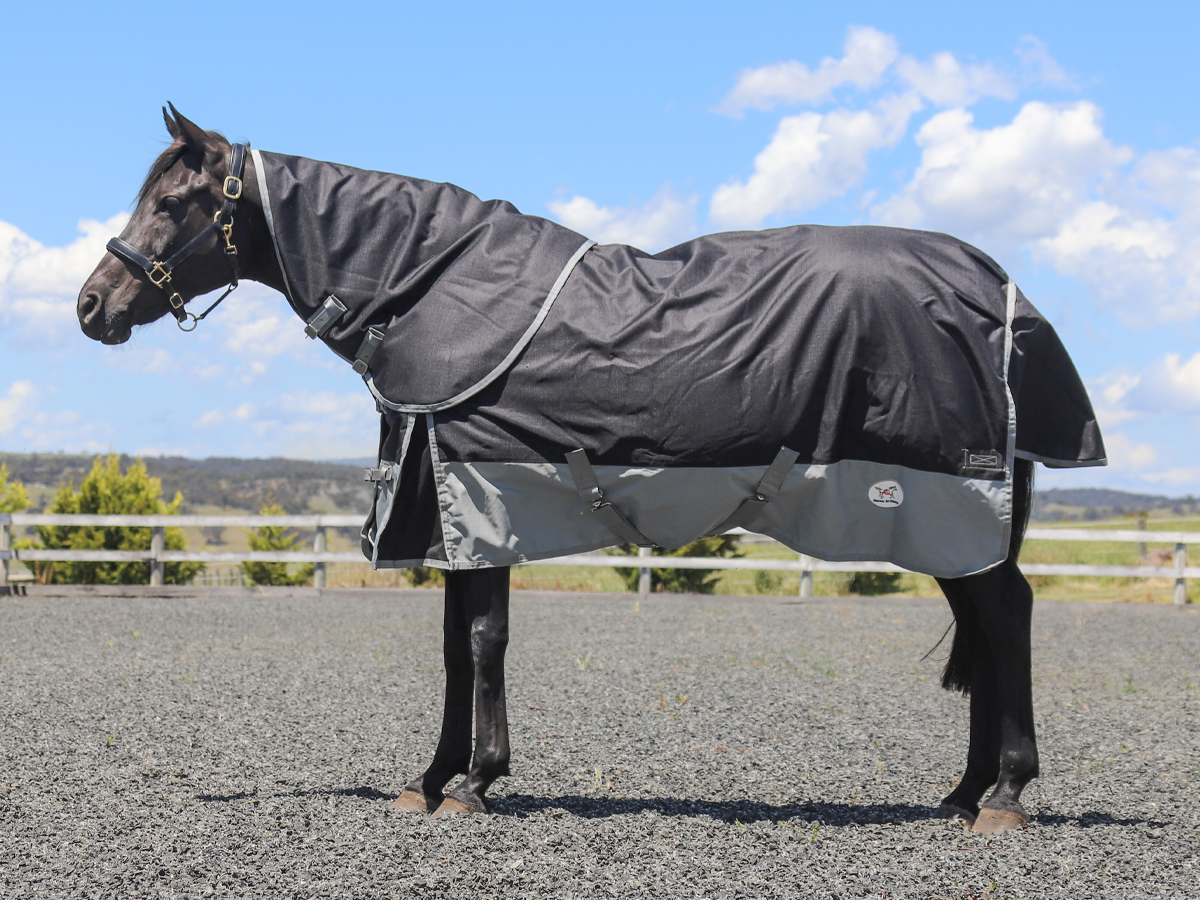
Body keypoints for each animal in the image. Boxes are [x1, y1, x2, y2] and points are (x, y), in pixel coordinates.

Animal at [77, 106, 1106, 834]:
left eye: (172, 203)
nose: (93, 305)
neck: (433, 287)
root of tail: (997, 293)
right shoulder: (457, 505)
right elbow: (454, 647)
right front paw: (432, 779)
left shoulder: (485, 498)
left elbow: (483, 642)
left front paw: (474, 784)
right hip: (951, 523)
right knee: (988, 621)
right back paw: (963, 793)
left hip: (947, 507)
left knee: (1007, 615)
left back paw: (1006, 797)